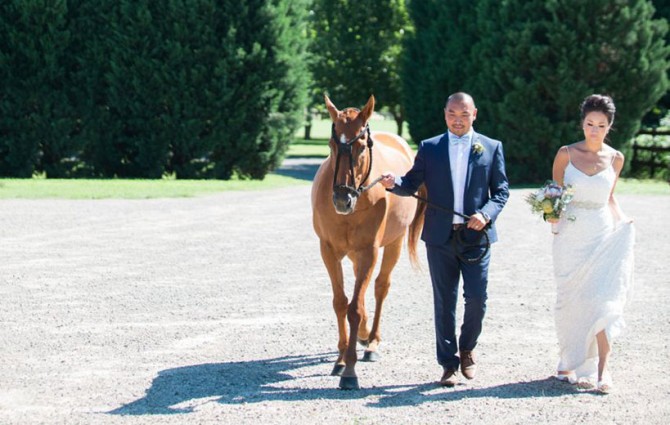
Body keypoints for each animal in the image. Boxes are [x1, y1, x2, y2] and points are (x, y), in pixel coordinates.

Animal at [314, 95, 428, 388]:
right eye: (331, 145)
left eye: (362, 146)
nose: (342, 200)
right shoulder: (328, 251)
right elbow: (341, 303)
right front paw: (341, 358)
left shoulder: (369, 252)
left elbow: (354, 307)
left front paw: (350, 370)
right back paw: (364, 335)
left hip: (393, 245)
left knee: (380, 287)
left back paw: (372, 341)